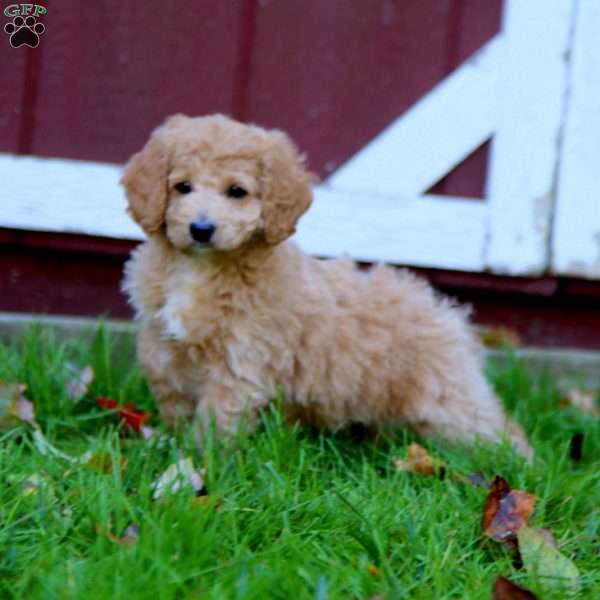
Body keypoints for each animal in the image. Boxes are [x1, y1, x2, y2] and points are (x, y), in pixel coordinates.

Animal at [120, 115, 528, 458]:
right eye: (182, 187)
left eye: (237, 191)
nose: (201, 229)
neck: (201, 268)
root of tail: (441, 306)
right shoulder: (162, 354)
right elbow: (176, 408)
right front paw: (167, 448)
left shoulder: (239, 366)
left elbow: (214, 425)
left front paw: (193, 467)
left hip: (446, 400)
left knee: (495, 427)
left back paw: (517, 464)